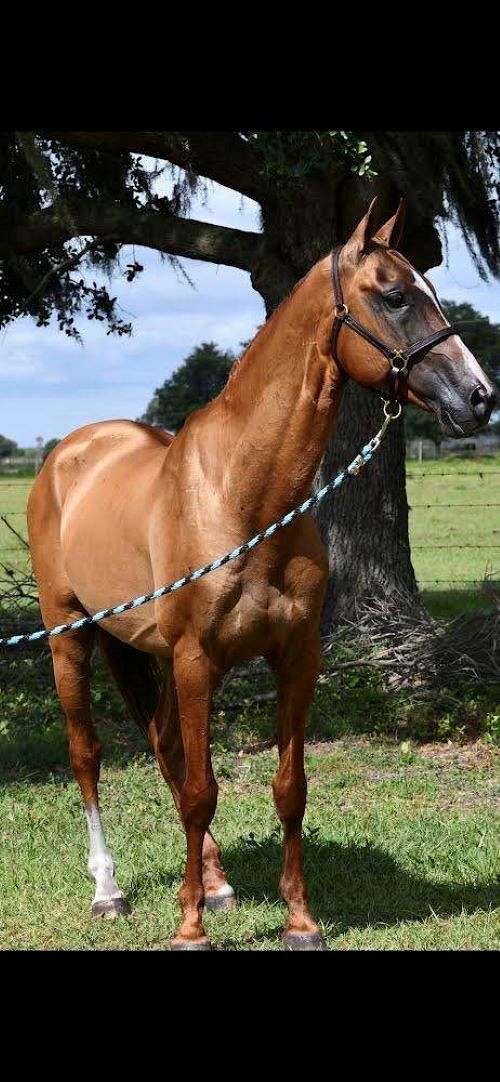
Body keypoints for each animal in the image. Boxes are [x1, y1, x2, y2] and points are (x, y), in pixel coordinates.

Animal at [27, 199, 495, 952]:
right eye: (394, 295)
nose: (480, 397)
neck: (242, 498)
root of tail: (70, 453)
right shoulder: (196, 660)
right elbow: (201, 791)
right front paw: (188, 929)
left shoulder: (295, 658)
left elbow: (287, 788)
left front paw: (298, 921)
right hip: (70, 638)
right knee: (88, 754)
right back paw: (109, 891)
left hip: (143, 649)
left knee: (162, 743)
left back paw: (215, 883)